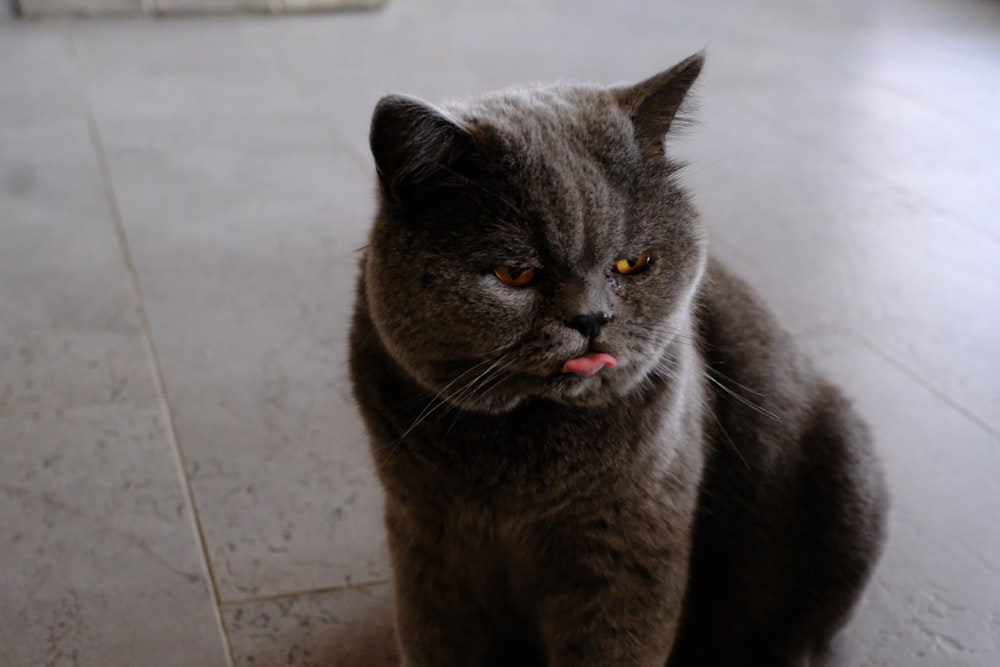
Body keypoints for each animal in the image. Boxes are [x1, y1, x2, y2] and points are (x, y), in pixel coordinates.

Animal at [348, 53, 888, 667]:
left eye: (632, 263)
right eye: (515, 273)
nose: (591, 319)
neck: (522, 466)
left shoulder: (630, 546)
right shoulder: (427, 542)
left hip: (846, 478)